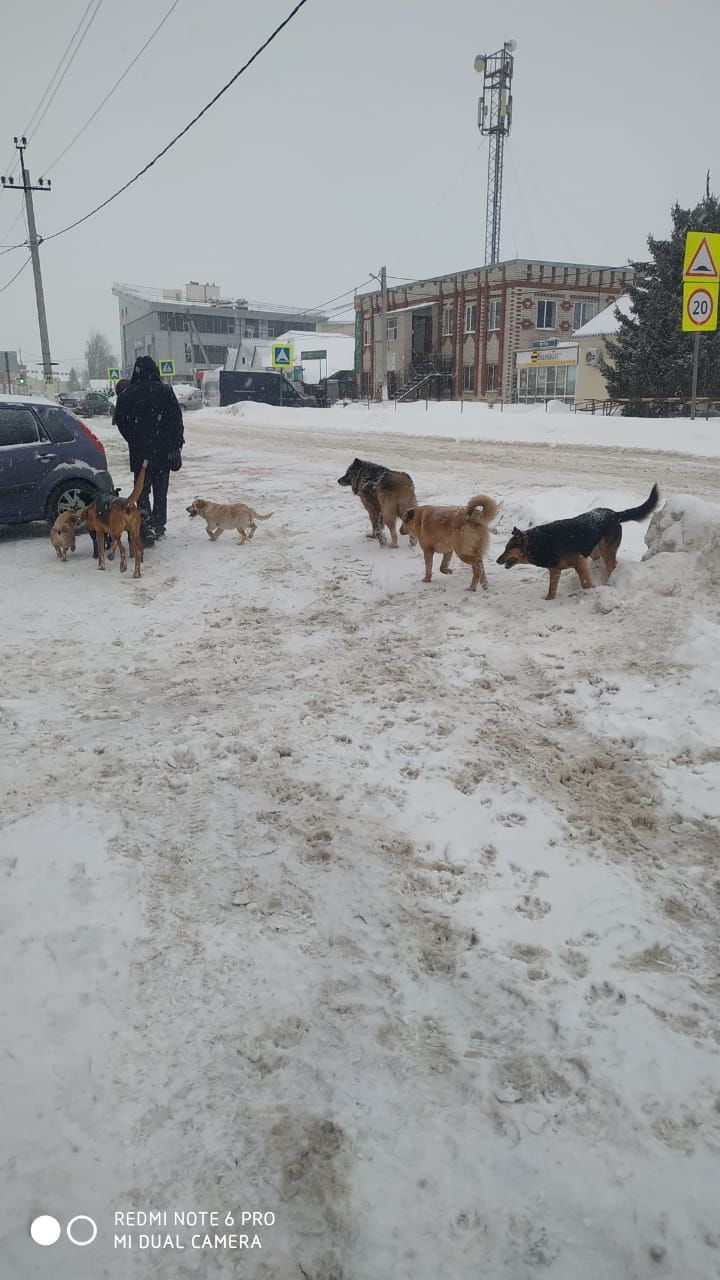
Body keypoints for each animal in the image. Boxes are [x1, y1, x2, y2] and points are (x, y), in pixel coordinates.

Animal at [491, 483, 655, 599]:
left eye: (509, 548)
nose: (497, 560)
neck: (540, 543)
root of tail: (615, 514)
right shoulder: (555, 570)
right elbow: (551, 591)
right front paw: (548, 600)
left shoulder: (579, 561)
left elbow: (585, 583)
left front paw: (592, 592)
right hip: (595, 551)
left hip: (606, 551)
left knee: (612, 566)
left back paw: (609, 583)